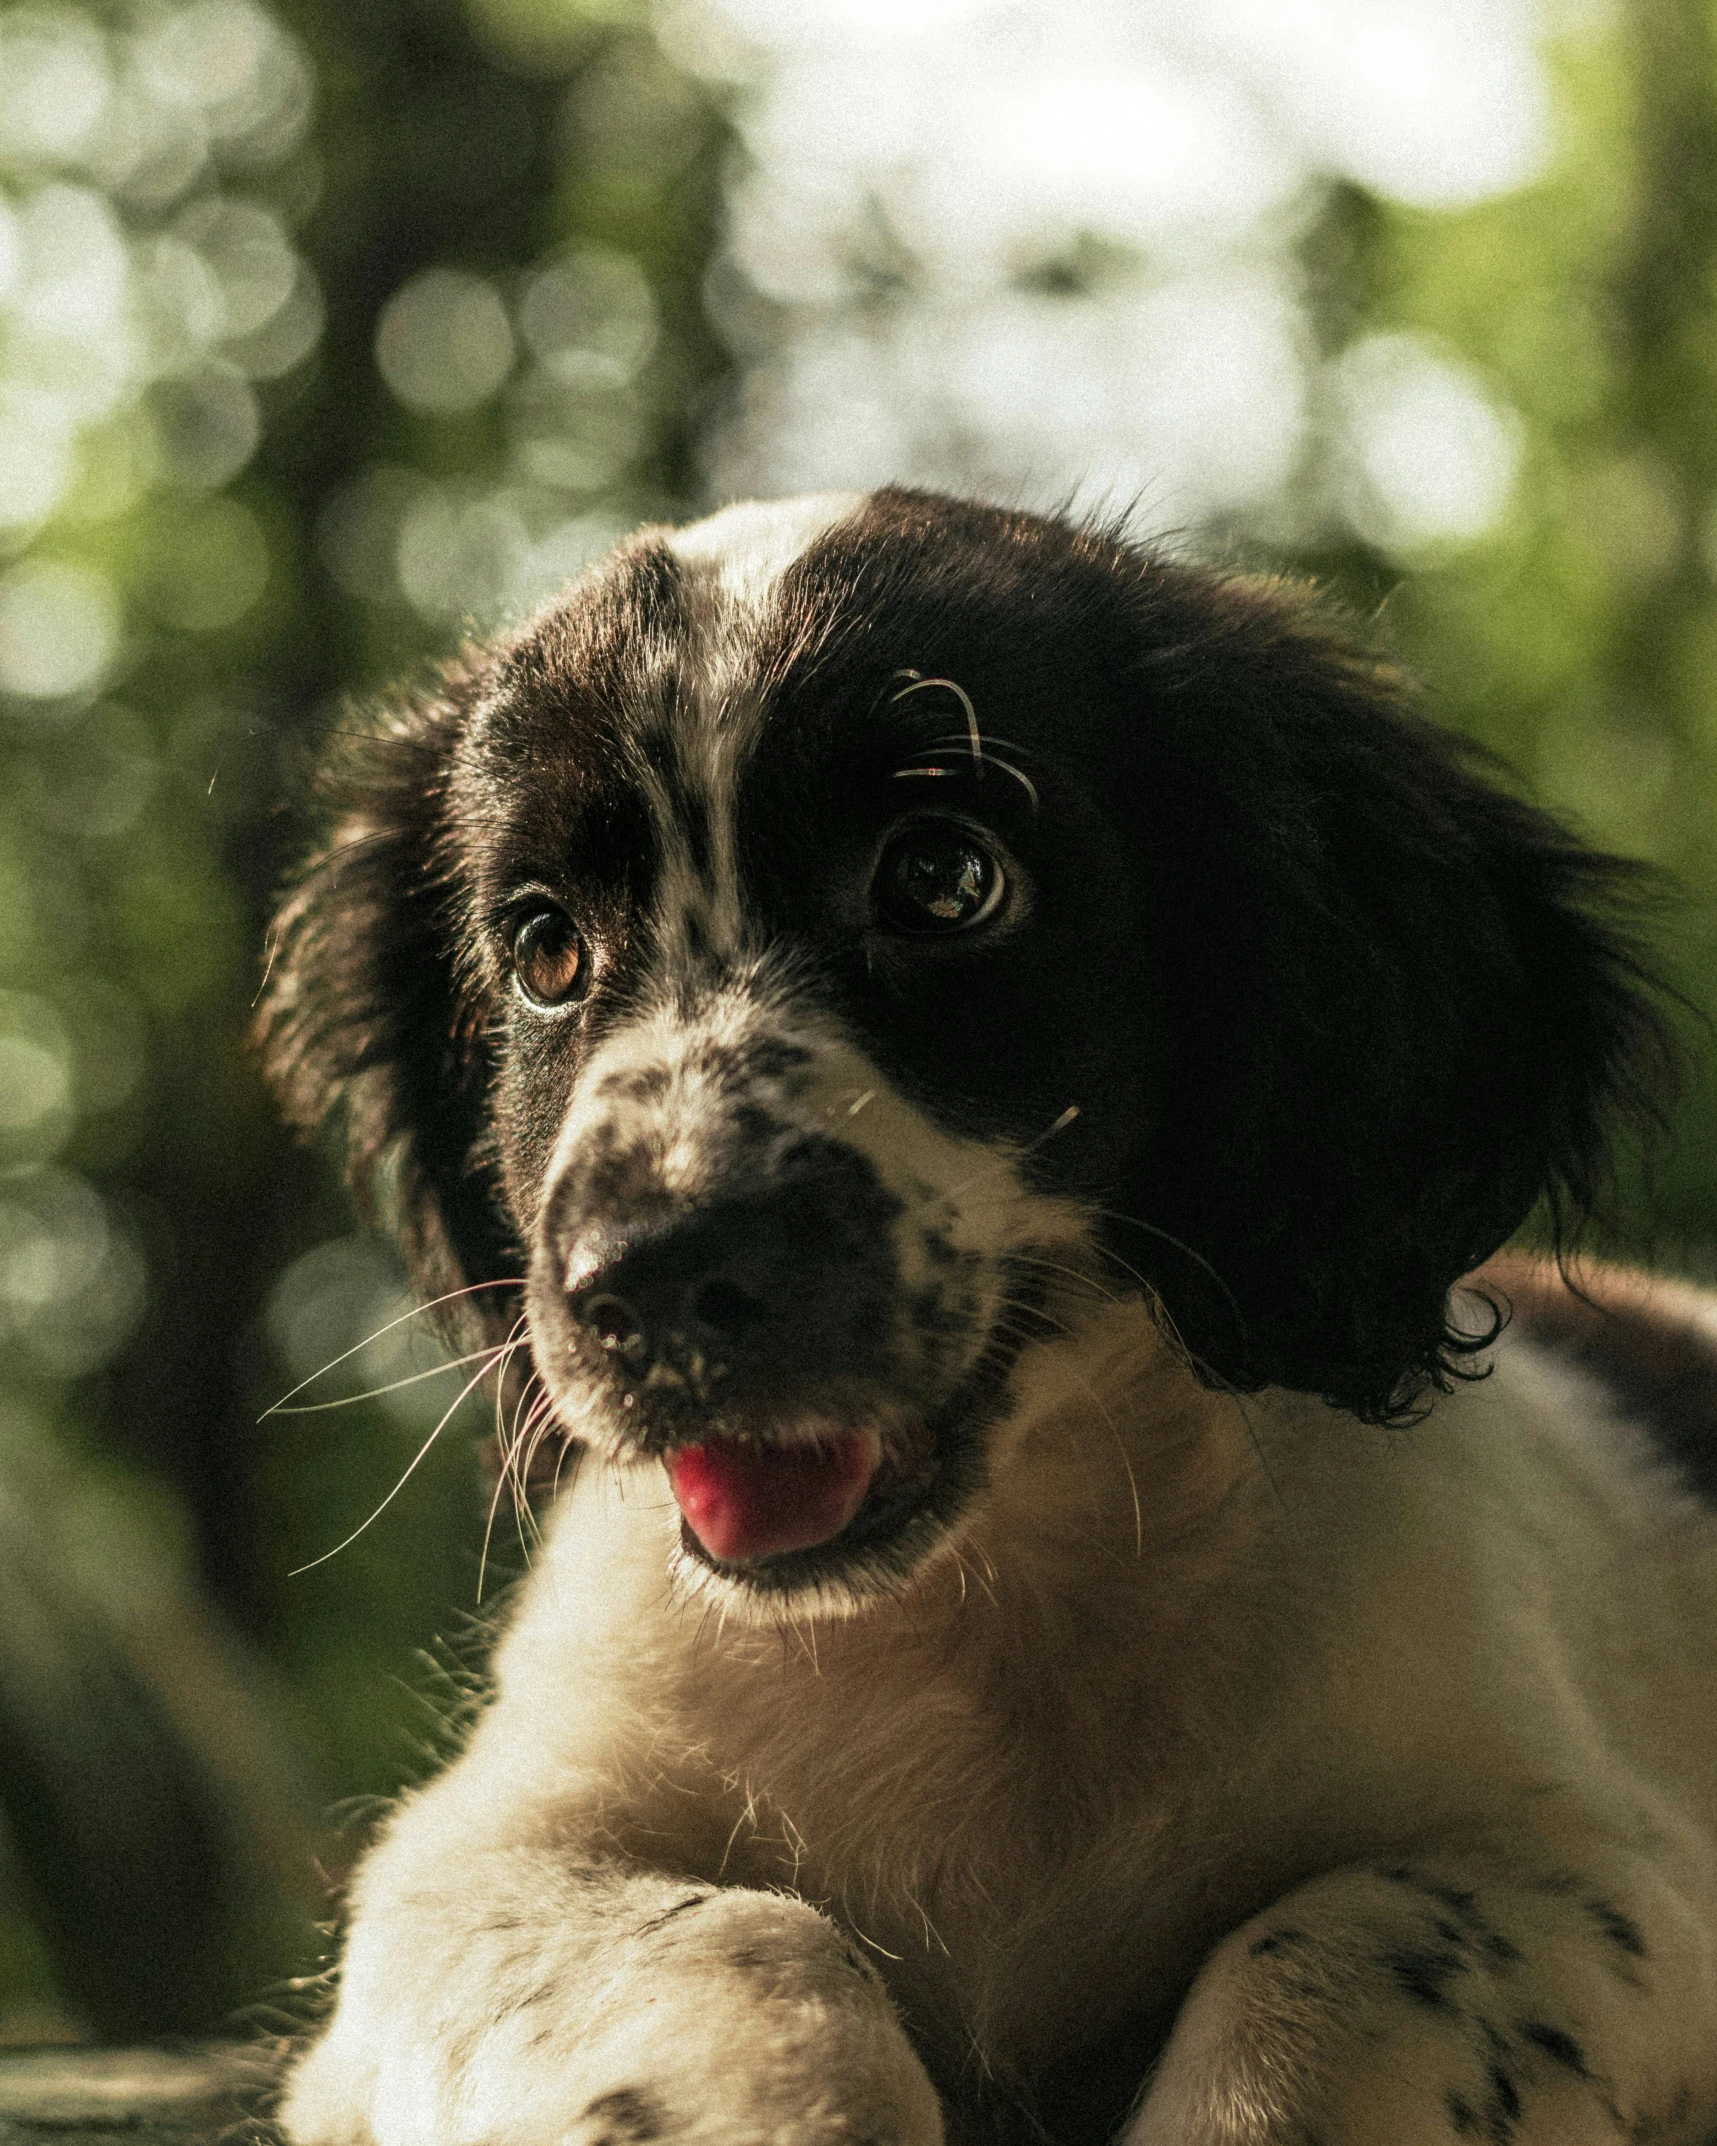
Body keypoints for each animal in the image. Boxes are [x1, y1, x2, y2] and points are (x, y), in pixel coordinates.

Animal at [255, 491, 1717, 2146]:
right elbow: (740, 1939)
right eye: (542, 951)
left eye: (944, 879)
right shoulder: (473, 1863)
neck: (983, 1613)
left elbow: (1337, 1951)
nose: (649, 1278)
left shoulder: (1595, 1867)